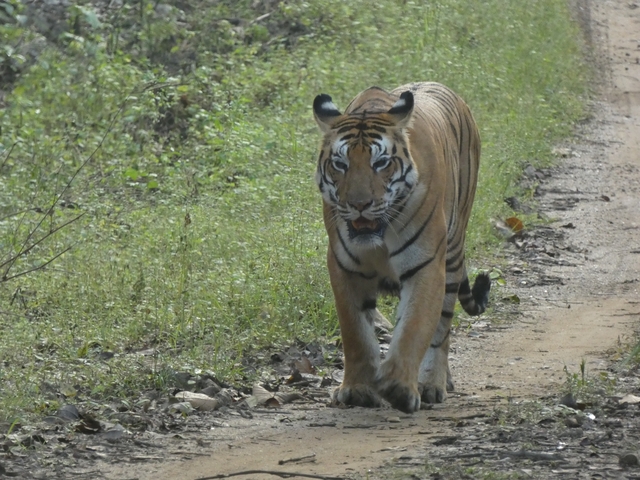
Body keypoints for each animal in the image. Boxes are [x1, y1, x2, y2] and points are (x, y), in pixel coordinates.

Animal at [312, 82, 491, 414]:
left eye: (380, 163)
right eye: (340, 164)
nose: (359, 204)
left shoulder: (426, 265)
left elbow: (414, 326)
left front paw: (397, 386)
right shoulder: (344, 268)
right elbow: (356, 333)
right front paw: (357, 390)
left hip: (452, 254)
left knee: (442, 328)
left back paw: (432, 383)